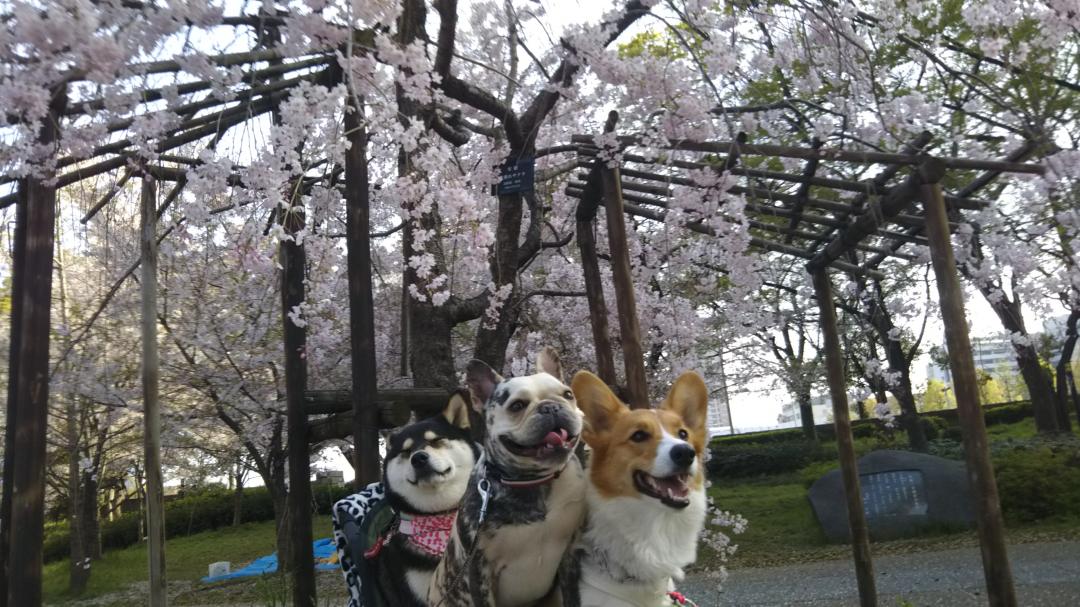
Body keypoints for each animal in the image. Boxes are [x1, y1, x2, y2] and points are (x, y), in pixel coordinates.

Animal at [425, 345, 587, 604]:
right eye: (517, 406)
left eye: (568, 394)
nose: (550, 406)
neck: (533, 480)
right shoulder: (478, 569)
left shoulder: (570, 553)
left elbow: (572, 596)